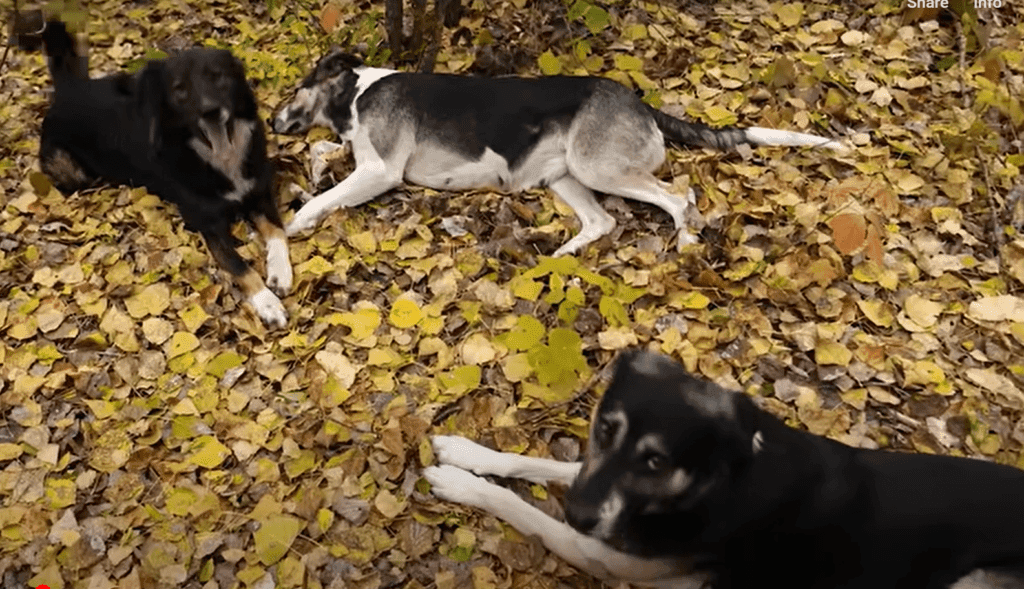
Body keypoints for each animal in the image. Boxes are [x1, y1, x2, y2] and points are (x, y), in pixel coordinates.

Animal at [34, 20, 290, 327]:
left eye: (218, 77)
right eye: (180, 90)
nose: (210, 111)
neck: (221, 159)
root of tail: (68, 88)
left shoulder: (260, 192)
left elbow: (277, 231)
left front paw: (281, 272)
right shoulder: (208, 224)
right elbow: (239, 266)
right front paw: (267, 303)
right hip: (71, 171)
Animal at [270, 48, 839, 256]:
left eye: (296, 88)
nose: (272, 122)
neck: (356, 93)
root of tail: (641, 103)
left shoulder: (380, 170)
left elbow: (320, 199)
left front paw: (291, 224)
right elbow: (324, 161)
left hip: (597, 167)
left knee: (679, 197)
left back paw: (685, 242)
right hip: (562, 177)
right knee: (602, 223)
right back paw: (563, 258)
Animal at [428, 350, 1024, 589]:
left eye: (656, 461)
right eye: (605, 429)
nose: (577, 513)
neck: (709, 484)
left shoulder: (605, 552)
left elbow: (521, 507)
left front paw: (461, 484)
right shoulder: (598, 490)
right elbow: (541, 464)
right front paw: (468, 454)